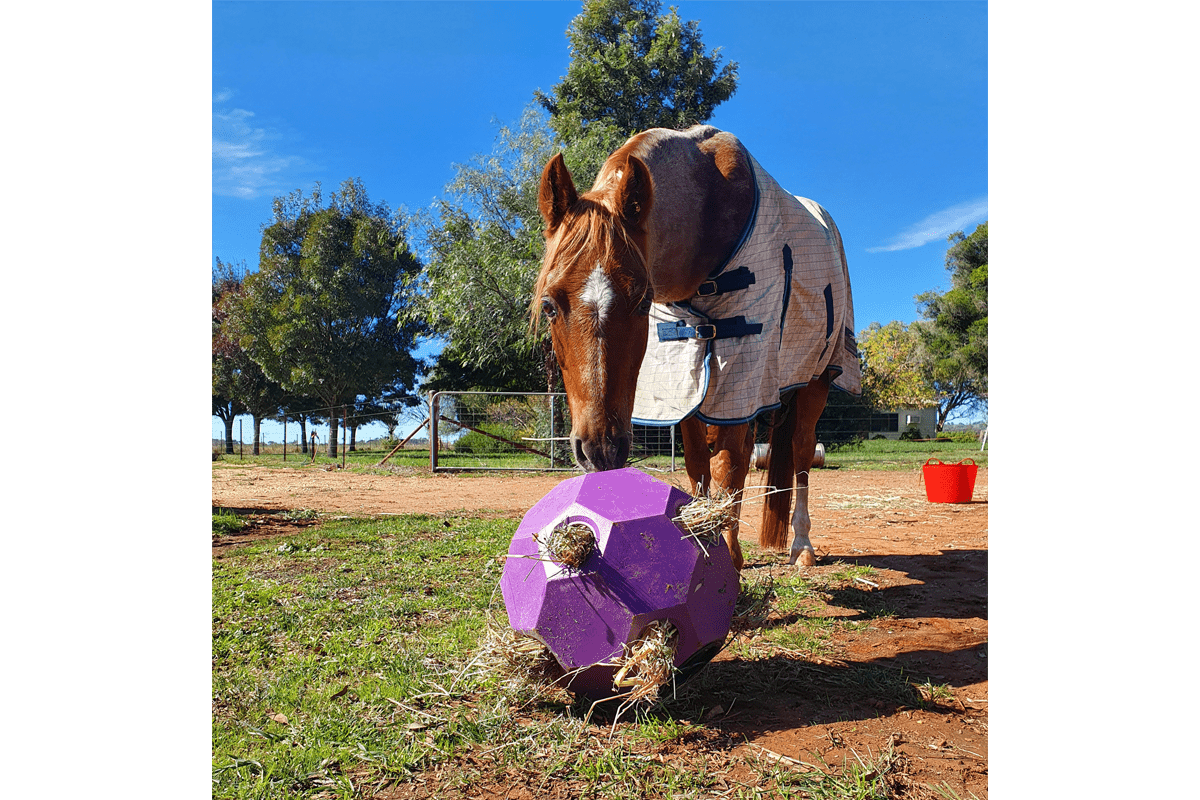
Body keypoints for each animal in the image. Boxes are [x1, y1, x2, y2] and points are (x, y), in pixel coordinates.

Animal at [532, 125, 860, 570]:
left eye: (642, 301)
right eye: (549, 305)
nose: (601, 449)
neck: (709, 203)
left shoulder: (743, 367)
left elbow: (726, 465)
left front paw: (726, 554)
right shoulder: (686, 379)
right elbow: (700, 466)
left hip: (816, 379)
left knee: (802, 451)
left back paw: (802, 546)